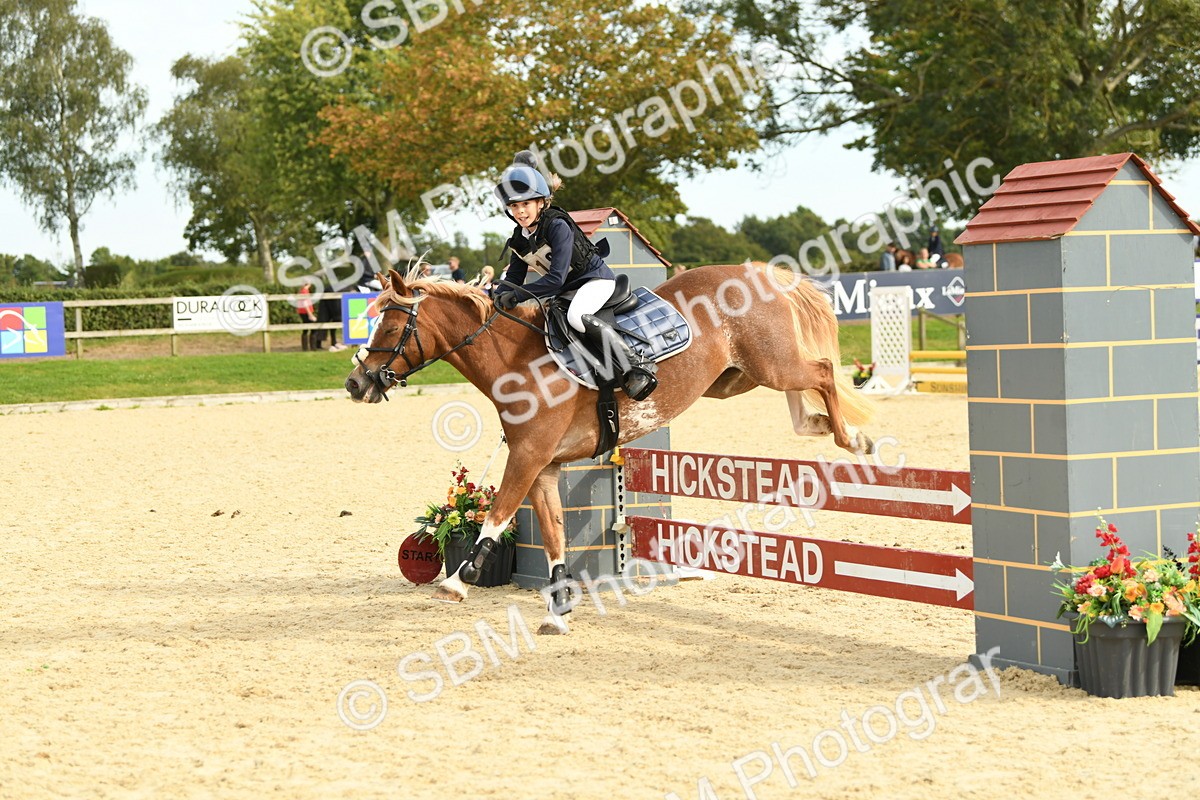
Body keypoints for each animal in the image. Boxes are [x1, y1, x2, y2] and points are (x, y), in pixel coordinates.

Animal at [344, 263, 875, 632]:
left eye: (389, 328)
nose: (354, 384)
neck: (515, 362)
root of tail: (760, 271)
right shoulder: (544, 466)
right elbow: (554, 536)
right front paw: (557, 610)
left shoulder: (527, 458)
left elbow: (495, 516)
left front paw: (458, 581)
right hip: (736, 378)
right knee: (805, 397)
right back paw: (819, 423)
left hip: (769, 363)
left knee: (822, 371)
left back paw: (855, 438)